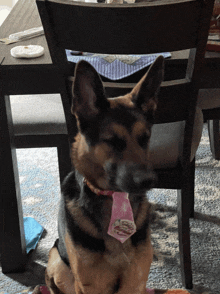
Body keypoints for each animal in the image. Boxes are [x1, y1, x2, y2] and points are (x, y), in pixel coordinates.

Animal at [40, 55, 163, 294]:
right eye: (112, 141)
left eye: (145, 138)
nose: (148, 181)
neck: (115, 200)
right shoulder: (90, 285)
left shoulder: (135, 282)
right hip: (57, 261)